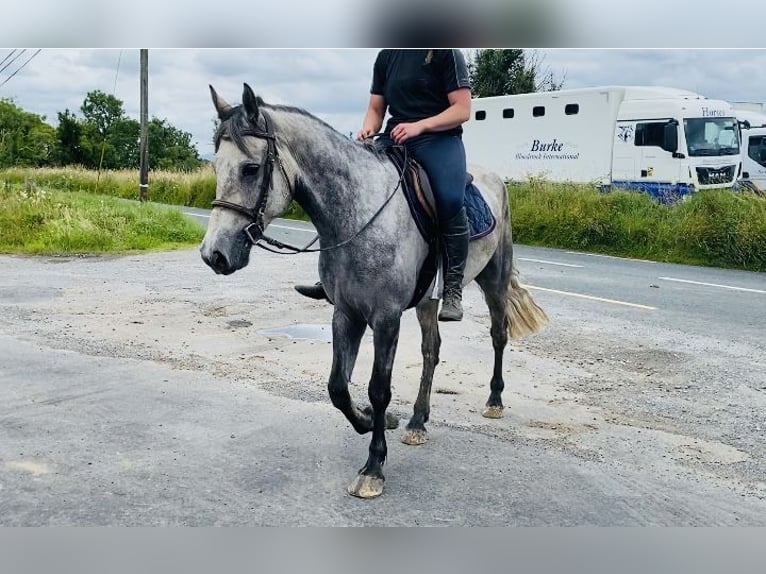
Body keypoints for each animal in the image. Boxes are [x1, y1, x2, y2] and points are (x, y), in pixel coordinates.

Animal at [200, 84, 544, 500]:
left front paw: (374, 466)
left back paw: (494, 400)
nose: (214, 254)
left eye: (251, 169)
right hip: (428, 300)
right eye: (216, 167)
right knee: (431, 351)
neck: (359, 215)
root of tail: (495, 180)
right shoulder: (346, 313)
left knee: (498, 334)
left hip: (494, 279)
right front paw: (371, 421)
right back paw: (417, 421)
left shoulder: (386, 317)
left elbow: (379, 388)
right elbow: (337, 387)